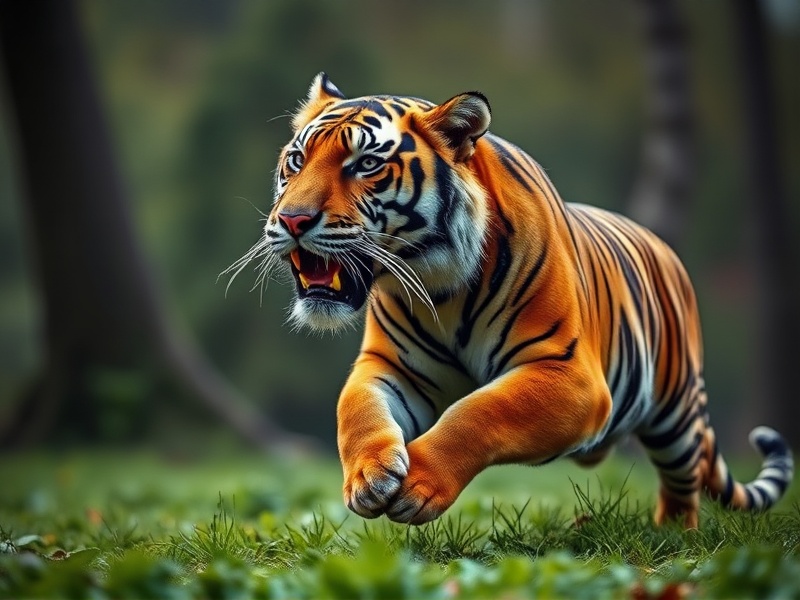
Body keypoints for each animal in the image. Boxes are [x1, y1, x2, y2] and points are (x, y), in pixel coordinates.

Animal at [230, 72, 794, 528]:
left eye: (366, 163)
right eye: (296, 160)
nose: (292, 221)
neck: (442, 287)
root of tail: (663, 248)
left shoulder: (570, 375)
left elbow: (480, 411)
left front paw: (418, 486)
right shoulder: (390, 365)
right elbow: (357, 408)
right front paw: (370, 478)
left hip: (674, 411)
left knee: (685, 478)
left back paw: (674, 534)